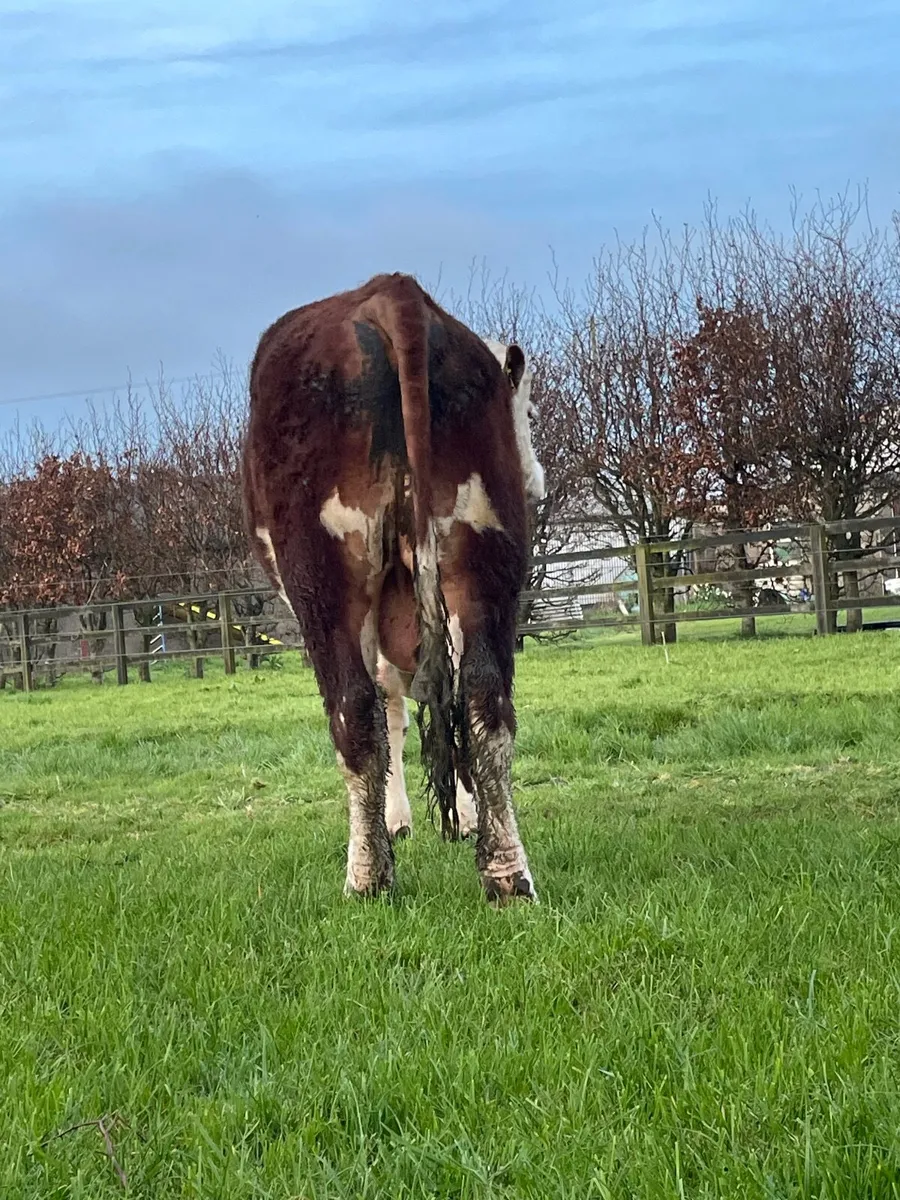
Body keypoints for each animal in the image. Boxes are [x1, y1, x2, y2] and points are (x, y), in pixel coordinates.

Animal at [242, 272, 546, 903]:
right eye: (524, 407)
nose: (537, 482)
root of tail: (395, 293)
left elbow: (391, 716)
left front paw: (404, 819)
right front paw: (457, 817)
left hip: (326, 579)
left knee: (356, 714)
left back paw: (367, 878)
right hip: (483, 557)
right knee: (484, 700)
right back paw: (506, 874)